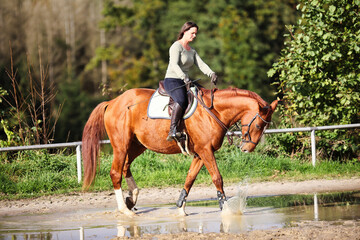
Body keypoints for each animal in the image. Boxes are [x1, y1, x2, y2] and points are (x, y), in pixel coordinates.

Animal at [82, 86, 278, 216]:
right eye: (258, 125)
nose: (246, 148)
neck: (213, 112)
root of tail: (113, 102)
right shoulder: (206, 151)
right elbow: (217, 178)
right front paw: (225, 207)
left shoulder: (200, 153)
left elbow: (190, 178)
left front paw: (181, 206)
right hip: (121, 146)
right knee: (115, 172)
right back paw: (124, 209)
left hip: (137, 146)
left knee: (125, 167)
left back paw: (132, 198)